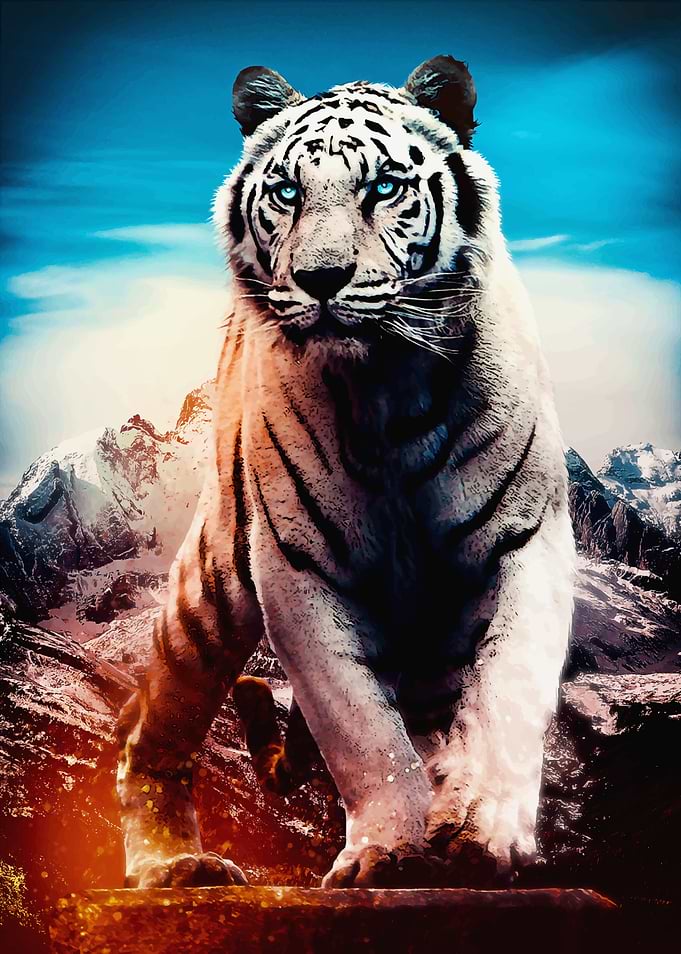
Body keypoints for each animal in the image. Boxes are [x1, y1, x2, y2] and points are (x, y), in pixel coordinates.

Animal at [117, 54, 575, 890]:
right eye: (287, 191)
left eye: (384, 186)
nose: (321, 278)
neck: (386, 390)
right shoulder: (297, 567)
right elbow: (358, 728)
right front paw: (387, 850)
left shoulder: (526, 542)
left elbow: (507, 692)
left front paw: (481, 833)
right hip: (210, 588)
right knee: (150, 726)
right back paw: (176, 865)